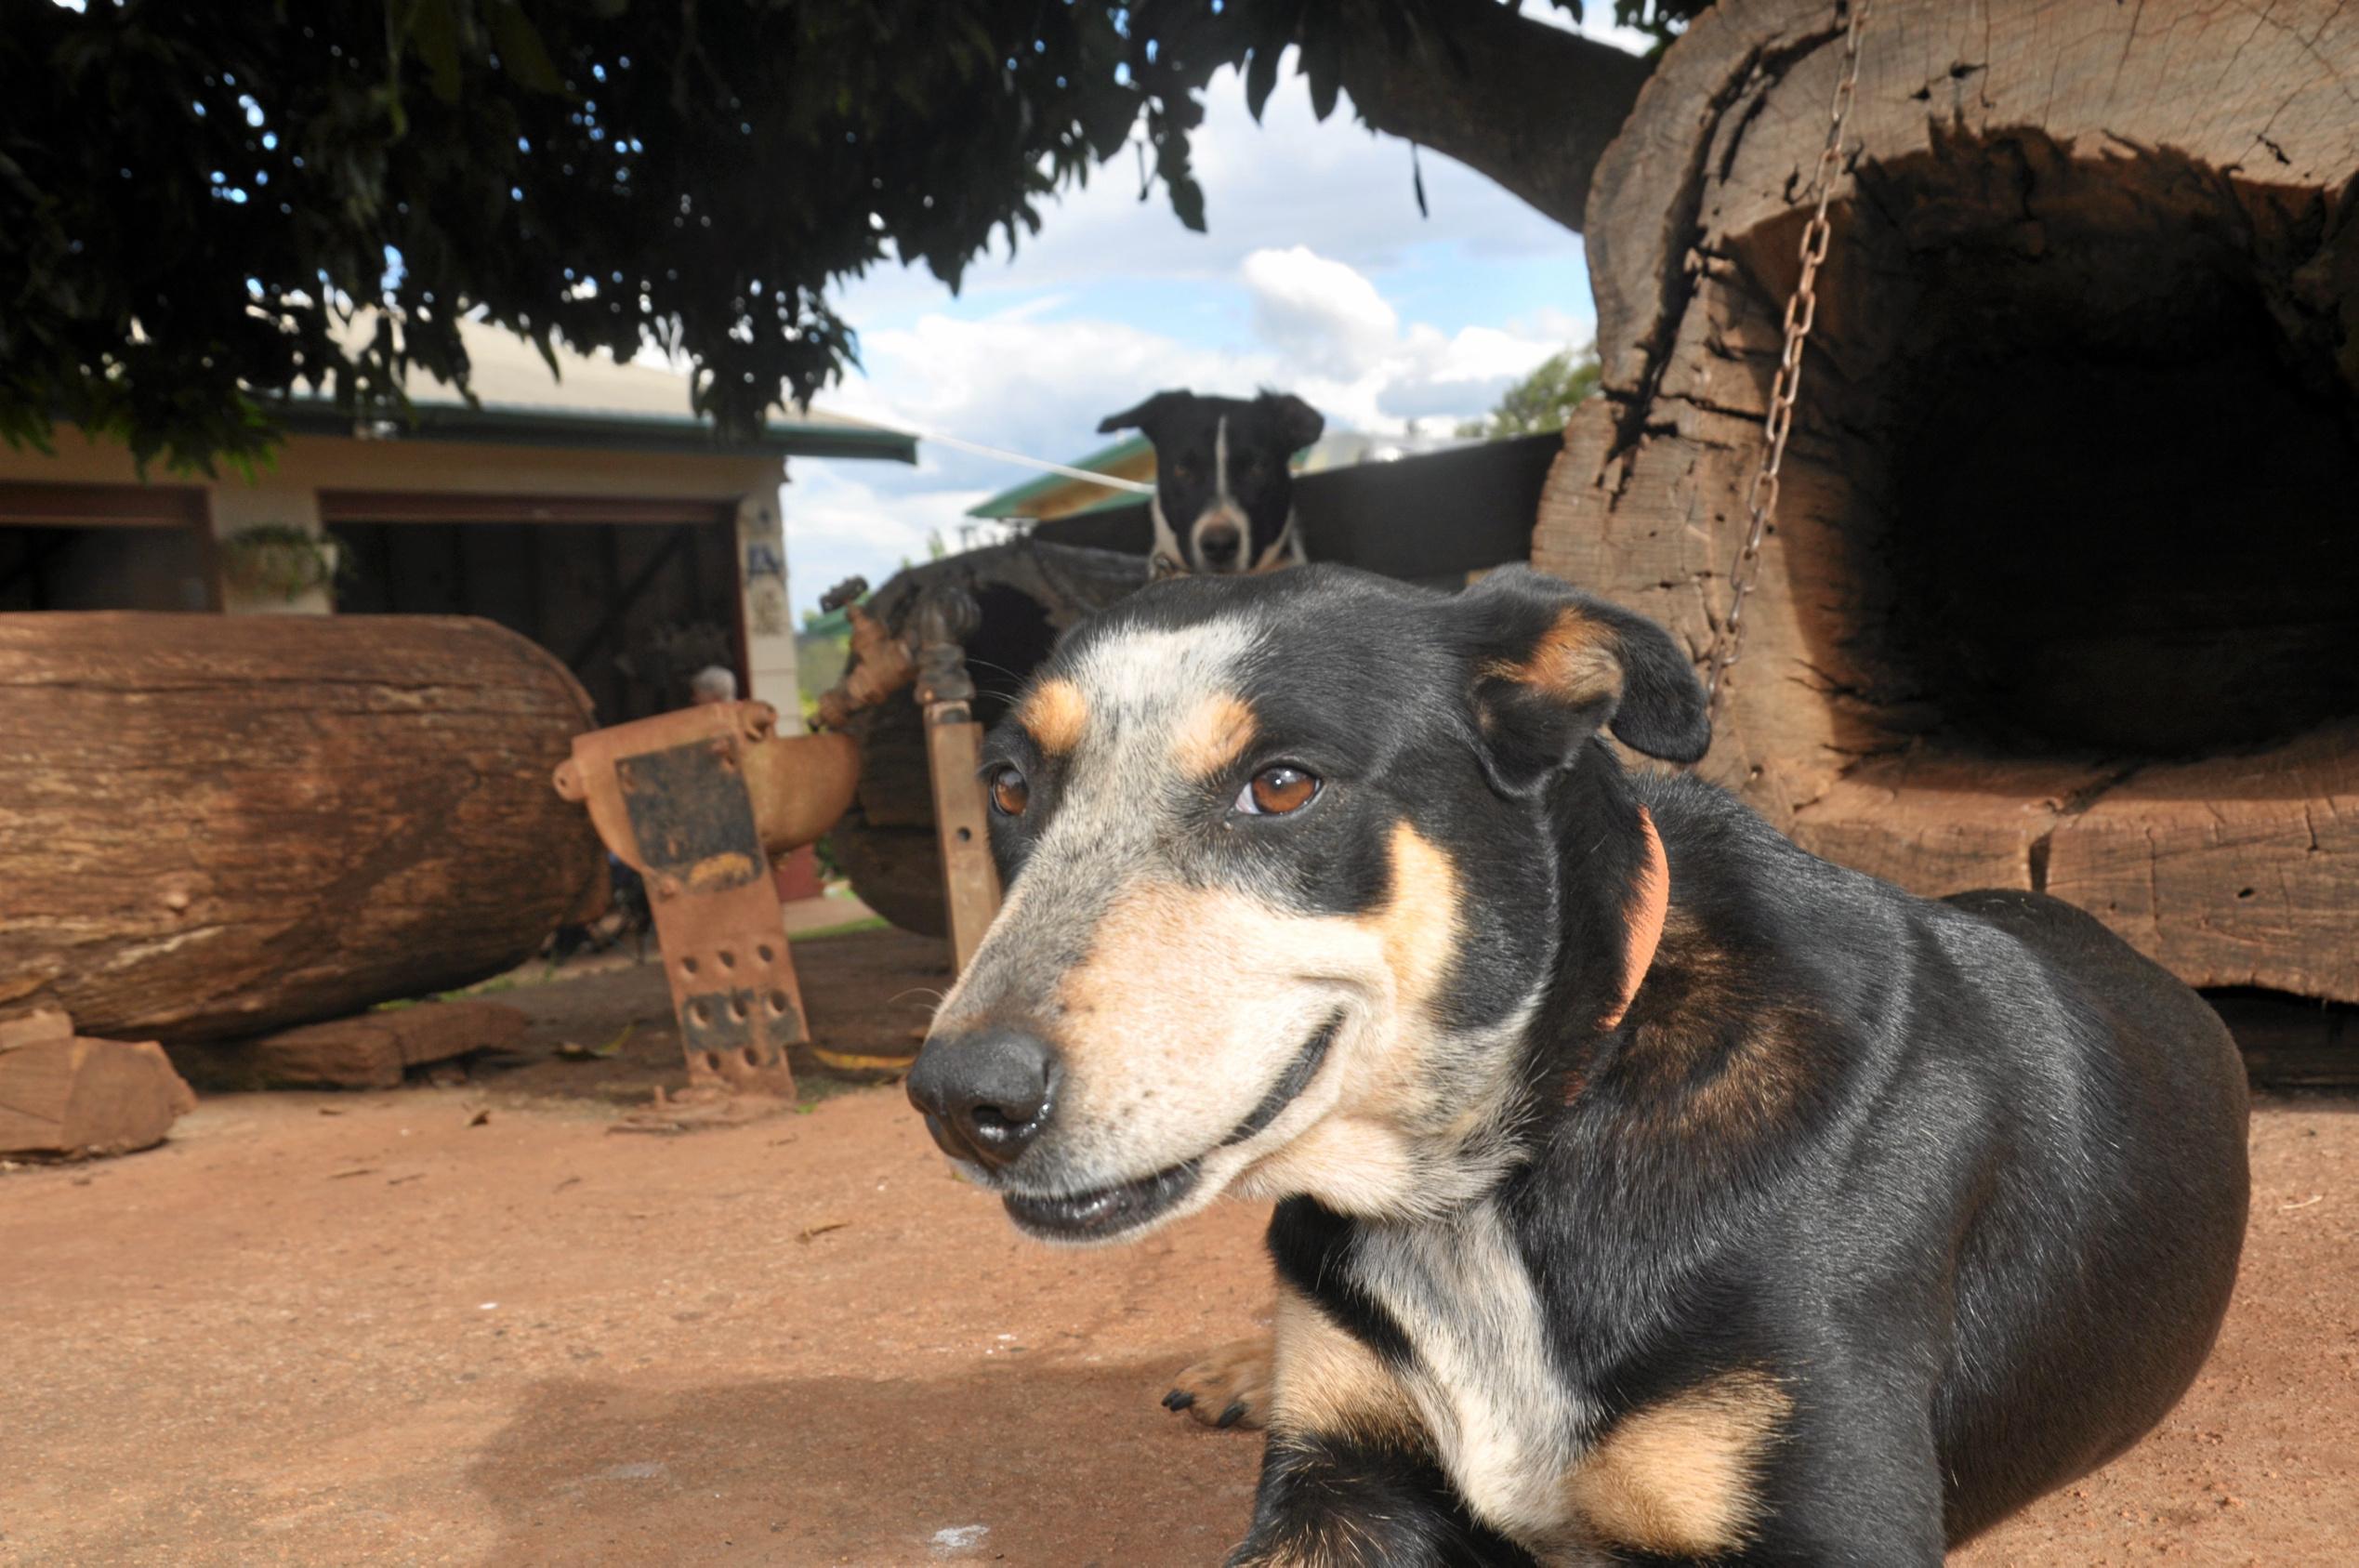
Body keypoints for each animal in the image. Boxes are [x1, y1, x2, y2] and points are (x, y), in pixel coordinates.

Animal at [901, 565, 2246, 1565]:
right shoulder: (1337, 1485)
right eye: (1008, 788)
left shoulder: (1827, 1518)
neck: (1499, 1161)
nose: (961, 1096)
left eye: (1279, 785)